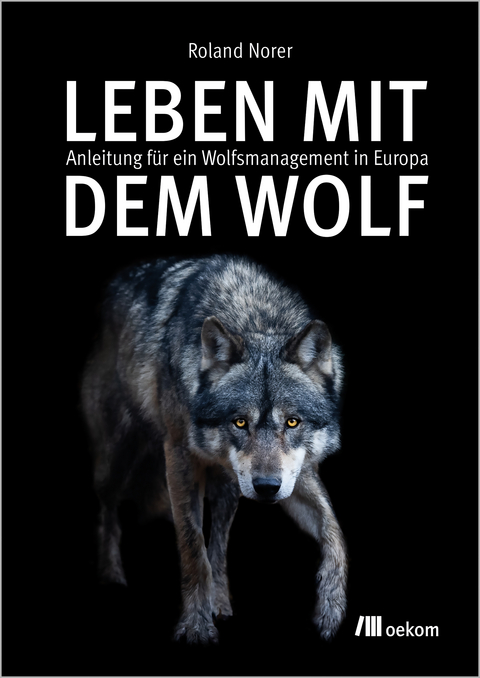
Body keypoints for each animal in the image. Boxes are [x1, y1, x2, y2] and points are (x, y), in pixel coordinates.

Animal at [81, 255, 348, 644]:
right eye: (239, 422)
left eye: (292, 422)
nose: (266, 488)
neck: (255, 317)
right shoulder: (179, 456)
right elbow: (193, 547)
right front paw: (195, 625)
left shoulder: (295, 474)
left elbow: (334, 529)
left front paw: (331, 607)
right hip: (117, 459)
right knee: (108, 509)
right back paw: (111, 575)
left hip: (229, 487)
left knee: (219, 544)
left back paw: (220, 601)